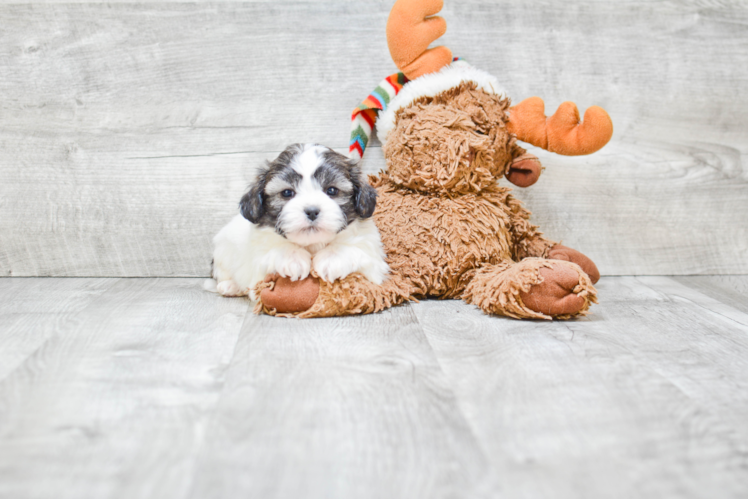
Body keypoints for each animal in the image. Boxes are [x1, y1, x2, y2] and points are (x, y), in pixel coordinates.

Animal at [207, 143, 388, 296]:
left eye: (331, 190)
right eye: (287, 193)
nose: (312, 211)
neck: (313, 244)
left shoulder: (373, 263)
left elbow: (354, 249)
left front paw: (332, 257)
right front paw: (292, 257)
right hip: (223, 250)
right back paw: (230, 286)